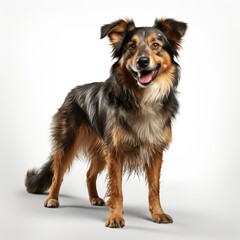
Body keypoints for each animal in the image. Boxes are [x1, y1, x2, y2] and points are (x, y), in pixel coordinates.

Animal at [25, 17, 188, 228]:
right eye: (131, 46)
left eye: (156, 45)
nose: (142, 62)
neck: (142, 99)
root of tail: (71, 93)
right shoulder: (115, 151)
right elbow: (117, 188)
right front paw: (116, 217)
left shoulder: (154, 151)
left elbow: (154, 188)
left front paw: (158, 214)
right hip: (68, 143)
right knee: (57, 173)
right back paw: (52, 199)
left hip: (102, 148)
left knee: (89, 174)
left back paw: (94, 198)